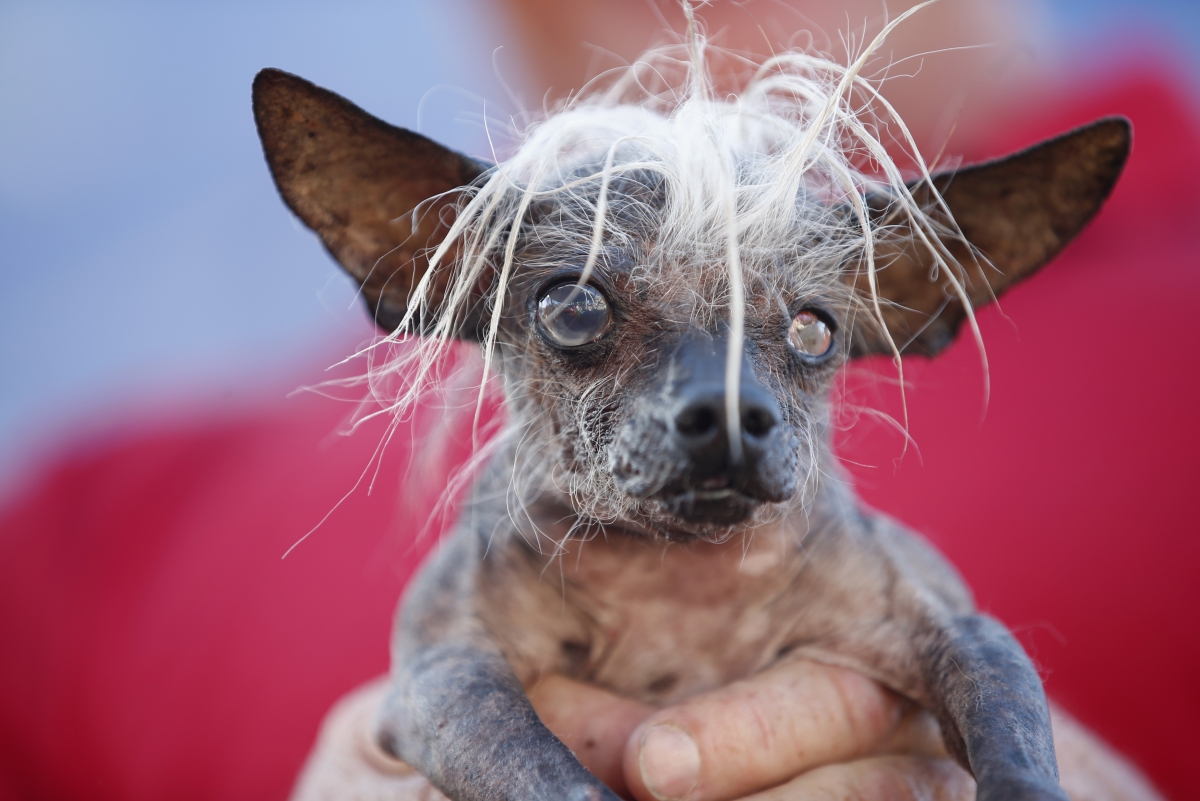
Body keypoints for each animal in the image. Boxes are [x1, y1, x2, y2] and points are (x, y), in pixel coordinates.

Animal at [253, 14, 1132, 801]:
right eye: (574, 308)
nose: (731, 414)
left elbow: (1009, 725)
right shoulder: (444, 674)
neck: (677, 585)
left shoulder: (957, 627)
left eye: (814, 328)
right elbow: (538, 768)